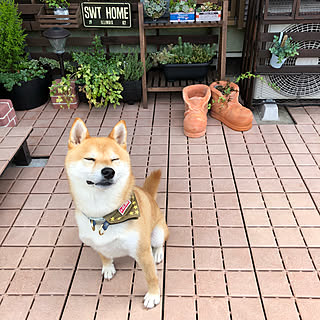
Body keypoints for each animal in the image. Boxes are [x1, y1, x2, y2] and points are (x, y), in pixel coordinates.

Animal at [65, 118, 170, 308]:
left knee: (159, 243)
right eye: (90, 158)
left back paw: (158, 252)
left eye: (114, 159)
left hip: (158, 232)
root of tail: (148, 194)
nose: (108, 171)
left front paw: (153, 295)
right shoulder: (96, 242)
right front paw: (108, 267)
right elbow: (104, 255)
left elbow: (151, 276)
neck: (105, 215)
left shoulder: (143, 251)